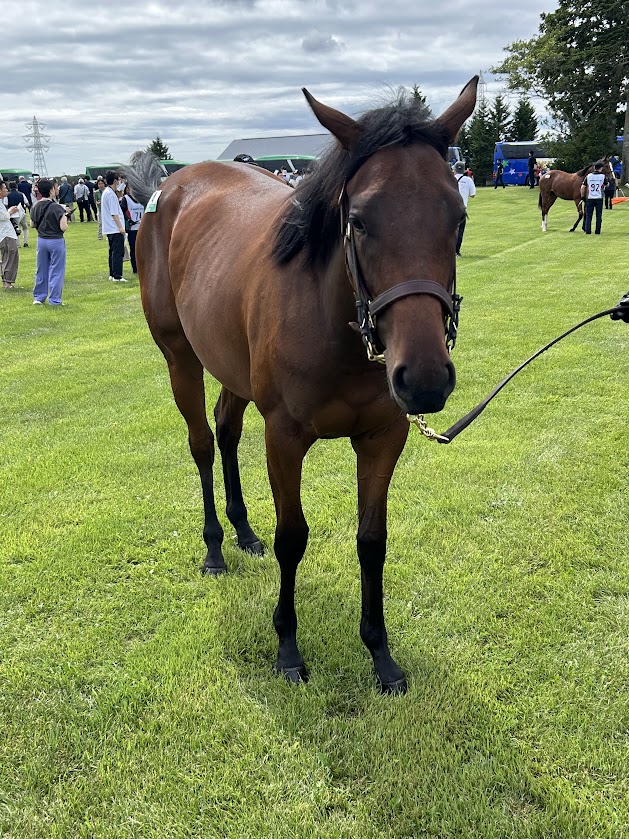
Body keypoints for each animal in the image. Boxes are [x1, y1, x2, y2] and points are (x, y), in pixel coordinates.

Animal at [129, 76, 478, 694]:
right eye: (358, 219)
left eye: (457, 217)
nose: (424, 379)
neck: (335, 325)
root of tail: (170, 186)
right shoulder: (285, 437)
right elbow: (293, 538)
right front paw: (288, 649)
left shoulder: (384, 437)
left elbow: (372, 540)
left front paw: (380, 654)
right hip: (180, 358)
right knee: (201, 443)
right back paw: (215, 548)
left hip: (233, 368)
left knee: (225, 429)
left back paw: (243, 531)